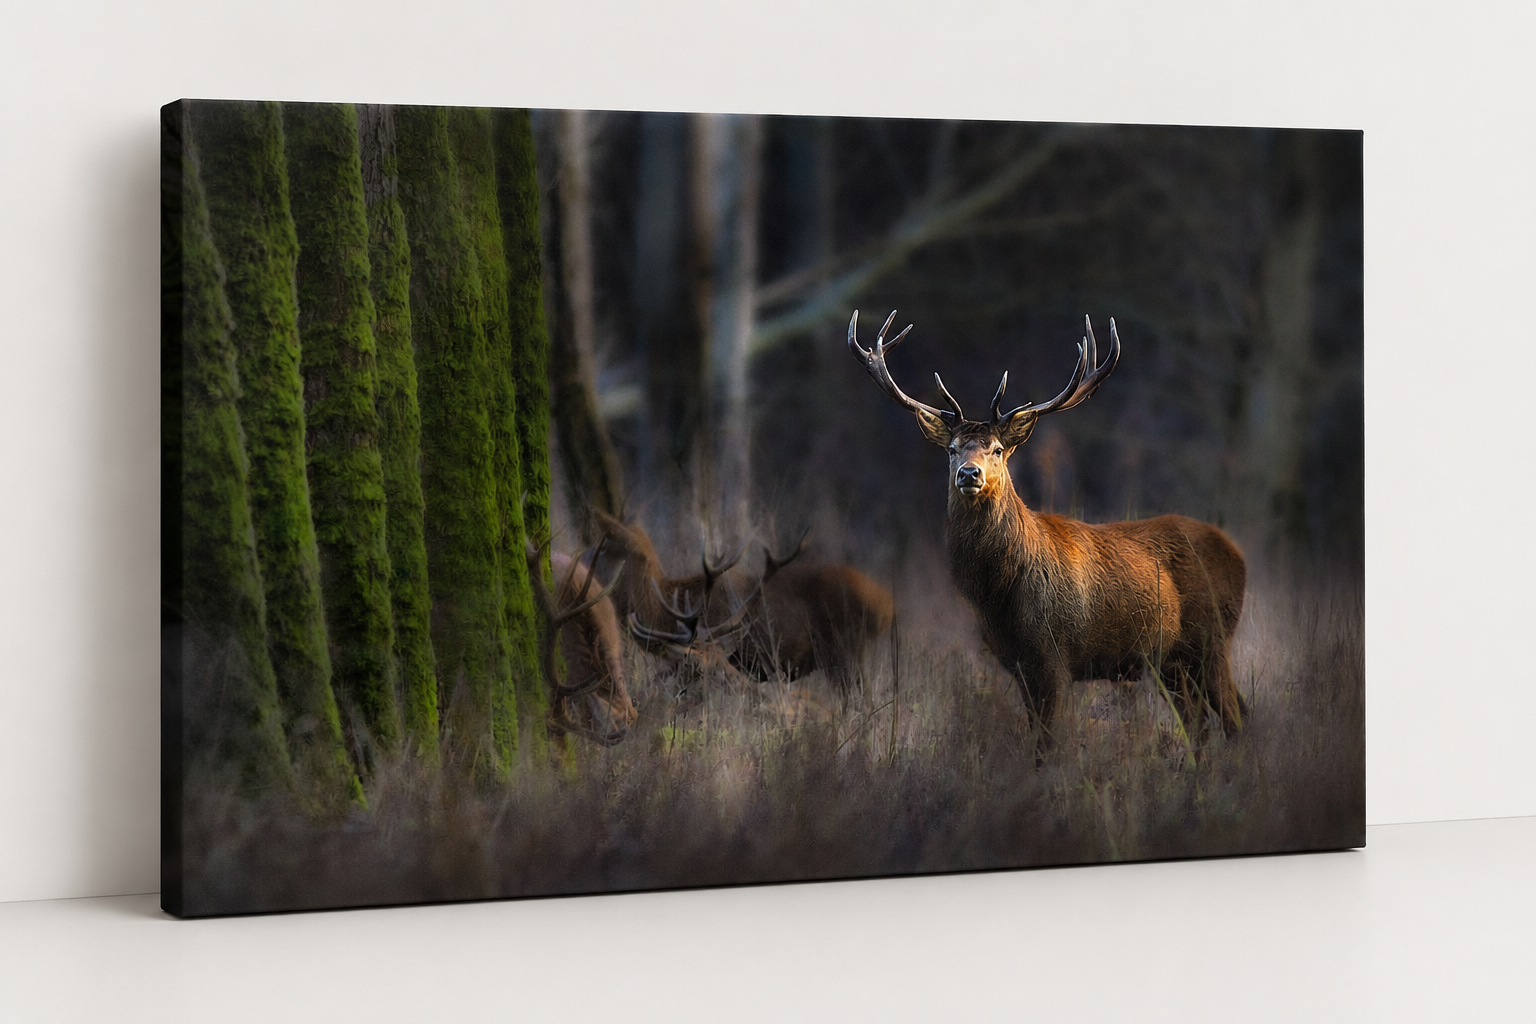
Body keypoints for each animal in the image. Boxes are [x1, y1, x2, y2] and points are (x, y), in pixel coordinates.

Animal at [847, 309, 1247, 748]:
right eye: (951, 450)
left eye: (997, 449)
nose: (969, 474)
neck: (999, 596)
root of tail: (1237, 553)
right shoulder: (1017, 662)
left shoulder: (1054, 653)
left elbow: (1049, 744)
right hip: (1172, 663)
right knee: (1201, 723)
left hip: (1212, 639)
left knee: (1233, 718)